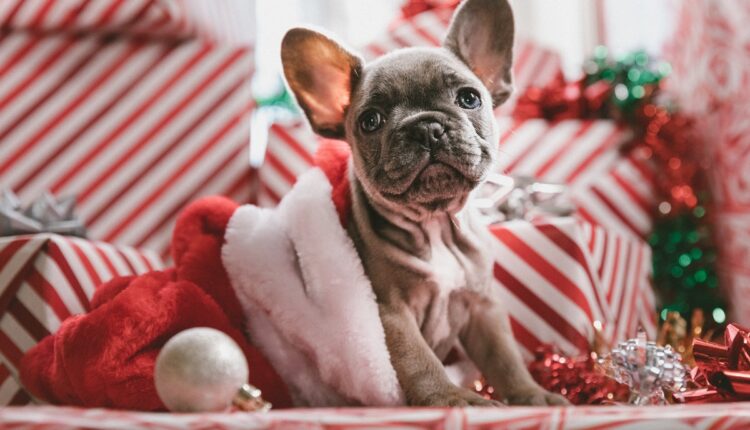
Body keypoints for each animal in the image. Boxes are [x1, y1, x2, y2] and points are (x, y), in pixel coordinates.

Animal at [282, 0, 568, 406]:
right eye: (370, 120)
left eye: (469, 98)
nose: (425, 127)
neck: (436, 224)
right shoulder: (391, 314)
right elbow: (419, 361)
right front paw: (453, 399)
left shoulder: (482, 307)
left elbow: (505, 357)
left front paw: (532, 396)